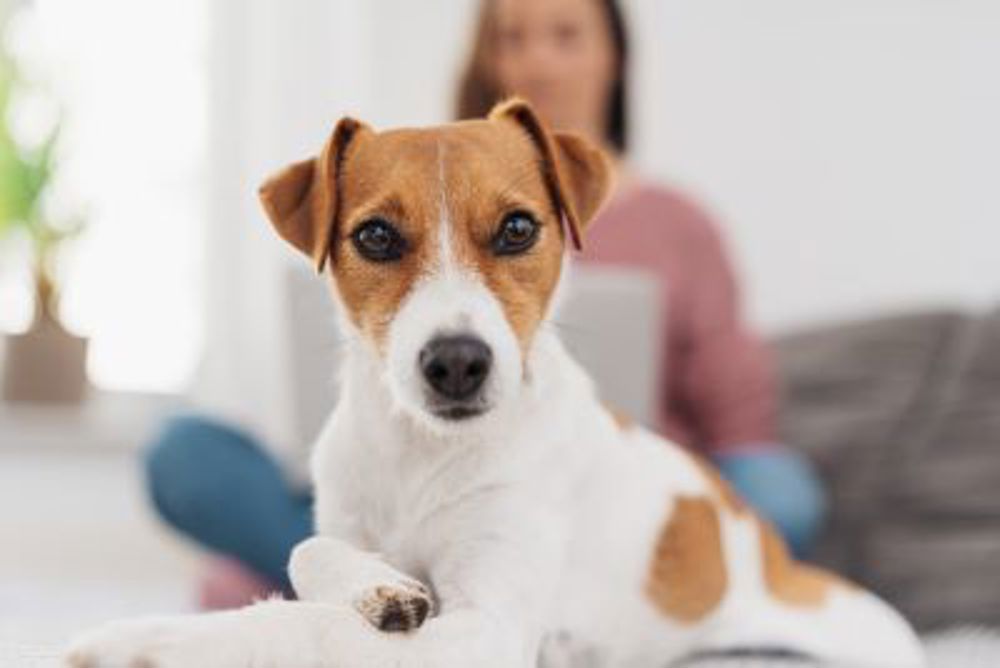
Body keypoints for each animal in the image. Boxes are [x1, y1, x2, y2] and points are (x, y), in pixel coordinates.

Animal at [62, 99, 920, 668]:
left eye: (517, 228)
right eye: (376, 236)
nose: (456, 362)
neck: (421, 453)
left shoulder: (488, 626)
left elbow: (309, 627)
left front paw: (148, 640)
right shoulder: (350, 527)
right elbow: (311, 553)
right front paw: (380, 590)